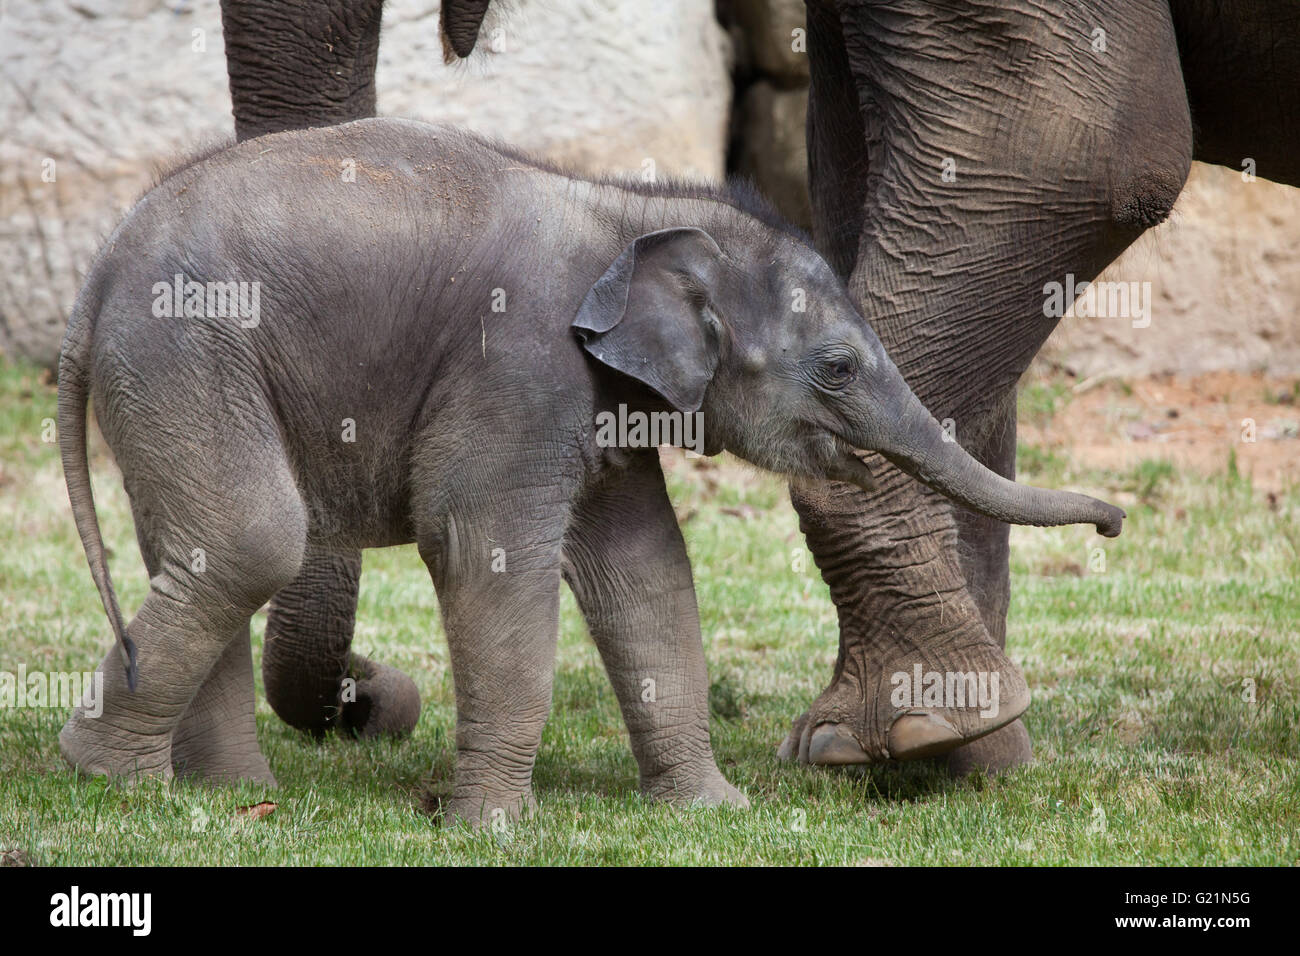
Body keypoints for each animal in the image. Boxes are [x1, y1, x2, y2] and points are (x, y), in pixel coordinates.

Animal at [55, 117, 1123, 822]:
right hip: (185, 353)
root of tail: (97, 271)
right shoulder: (516, 370)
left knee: (195, 551)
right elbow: (483, 550)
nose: (1115, 522)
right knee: (251, 541)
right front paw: (495, 830)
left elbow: (647, 569)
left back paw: (221, 797)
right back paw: (109, 778)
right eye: (839, 368)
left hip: (175, 377)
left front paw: (713, 814)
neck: (635, 211)